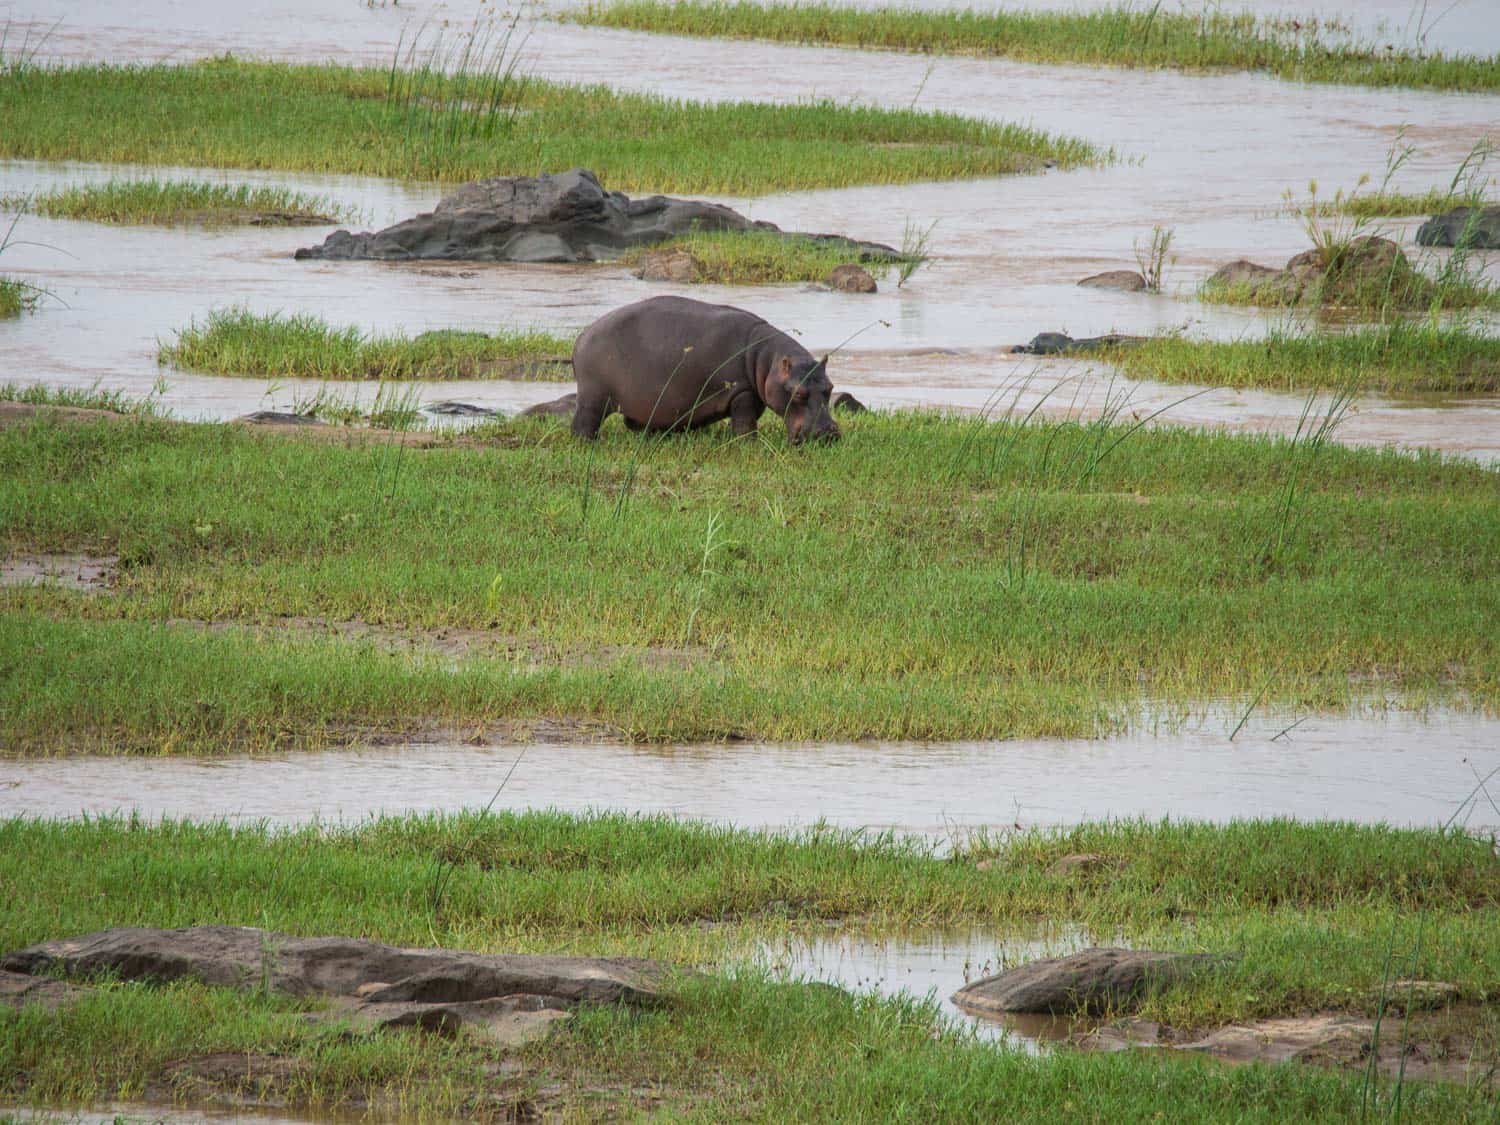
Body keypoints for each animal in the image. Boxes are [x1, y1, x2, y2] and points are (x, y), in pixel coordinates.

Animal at [567, 295, 840, 444]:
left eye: (829, 388)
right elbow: (745, 424)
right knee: (584, 422)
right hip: (594, 396)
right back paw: (586, 444)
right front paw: (749, 445)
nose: (828, 434)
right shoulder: (742, 392)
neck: (766, 360)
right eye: (798, 393)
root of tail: (581, 337)